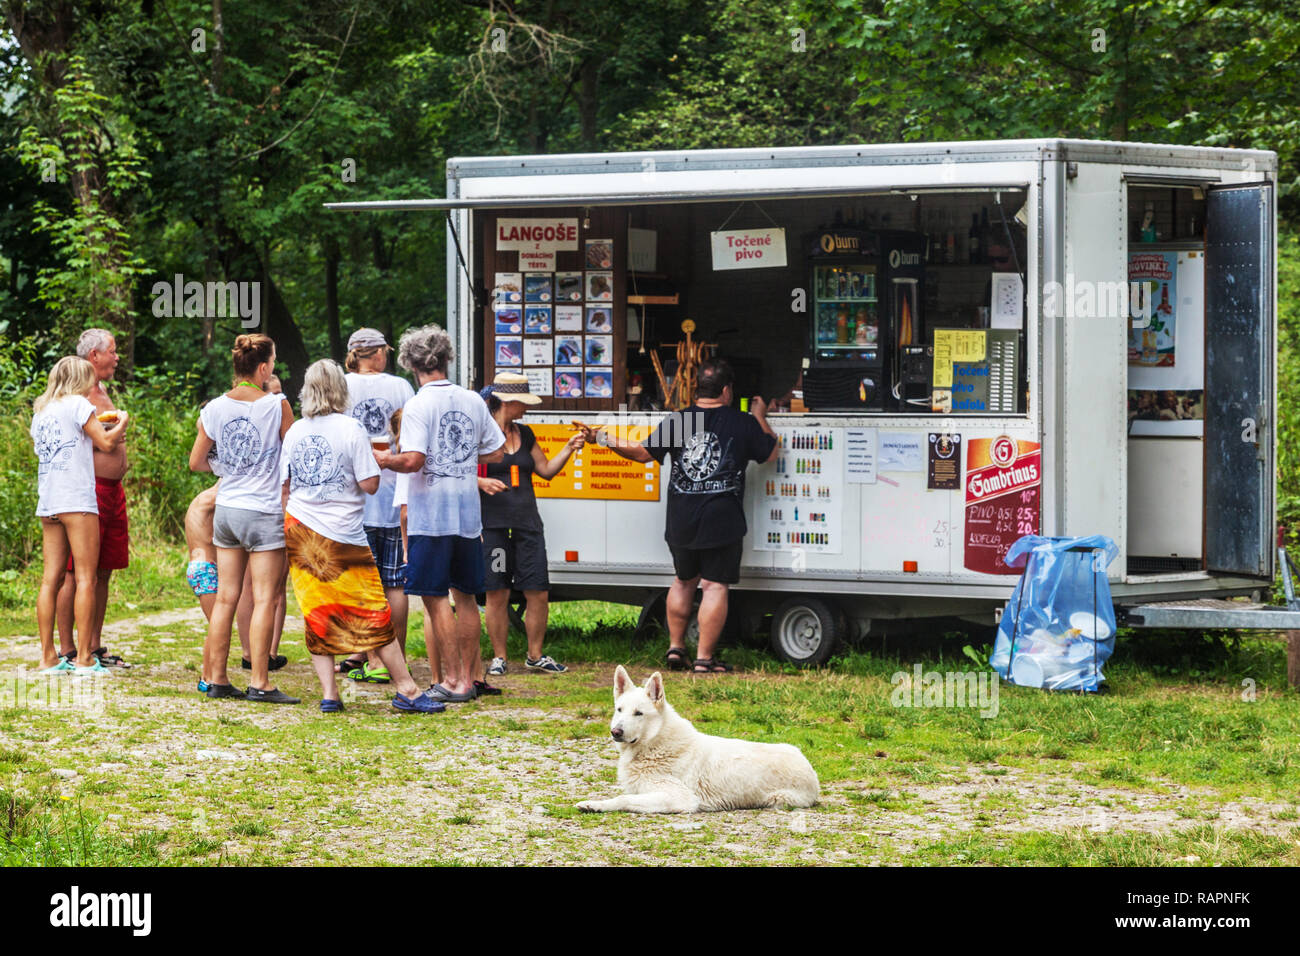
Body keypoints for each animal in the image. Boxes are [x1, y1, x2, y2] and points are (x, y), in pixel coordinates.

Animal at [577, 665, 816, 816]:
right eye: (619, 710)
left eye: (639, 713)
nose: (615, 732)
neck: (655, 744)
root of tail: (809, 766)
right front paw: (593, 802)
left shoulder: (680, 798)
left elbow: (623, 799)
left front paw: (594, 805)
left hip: (778, 800)